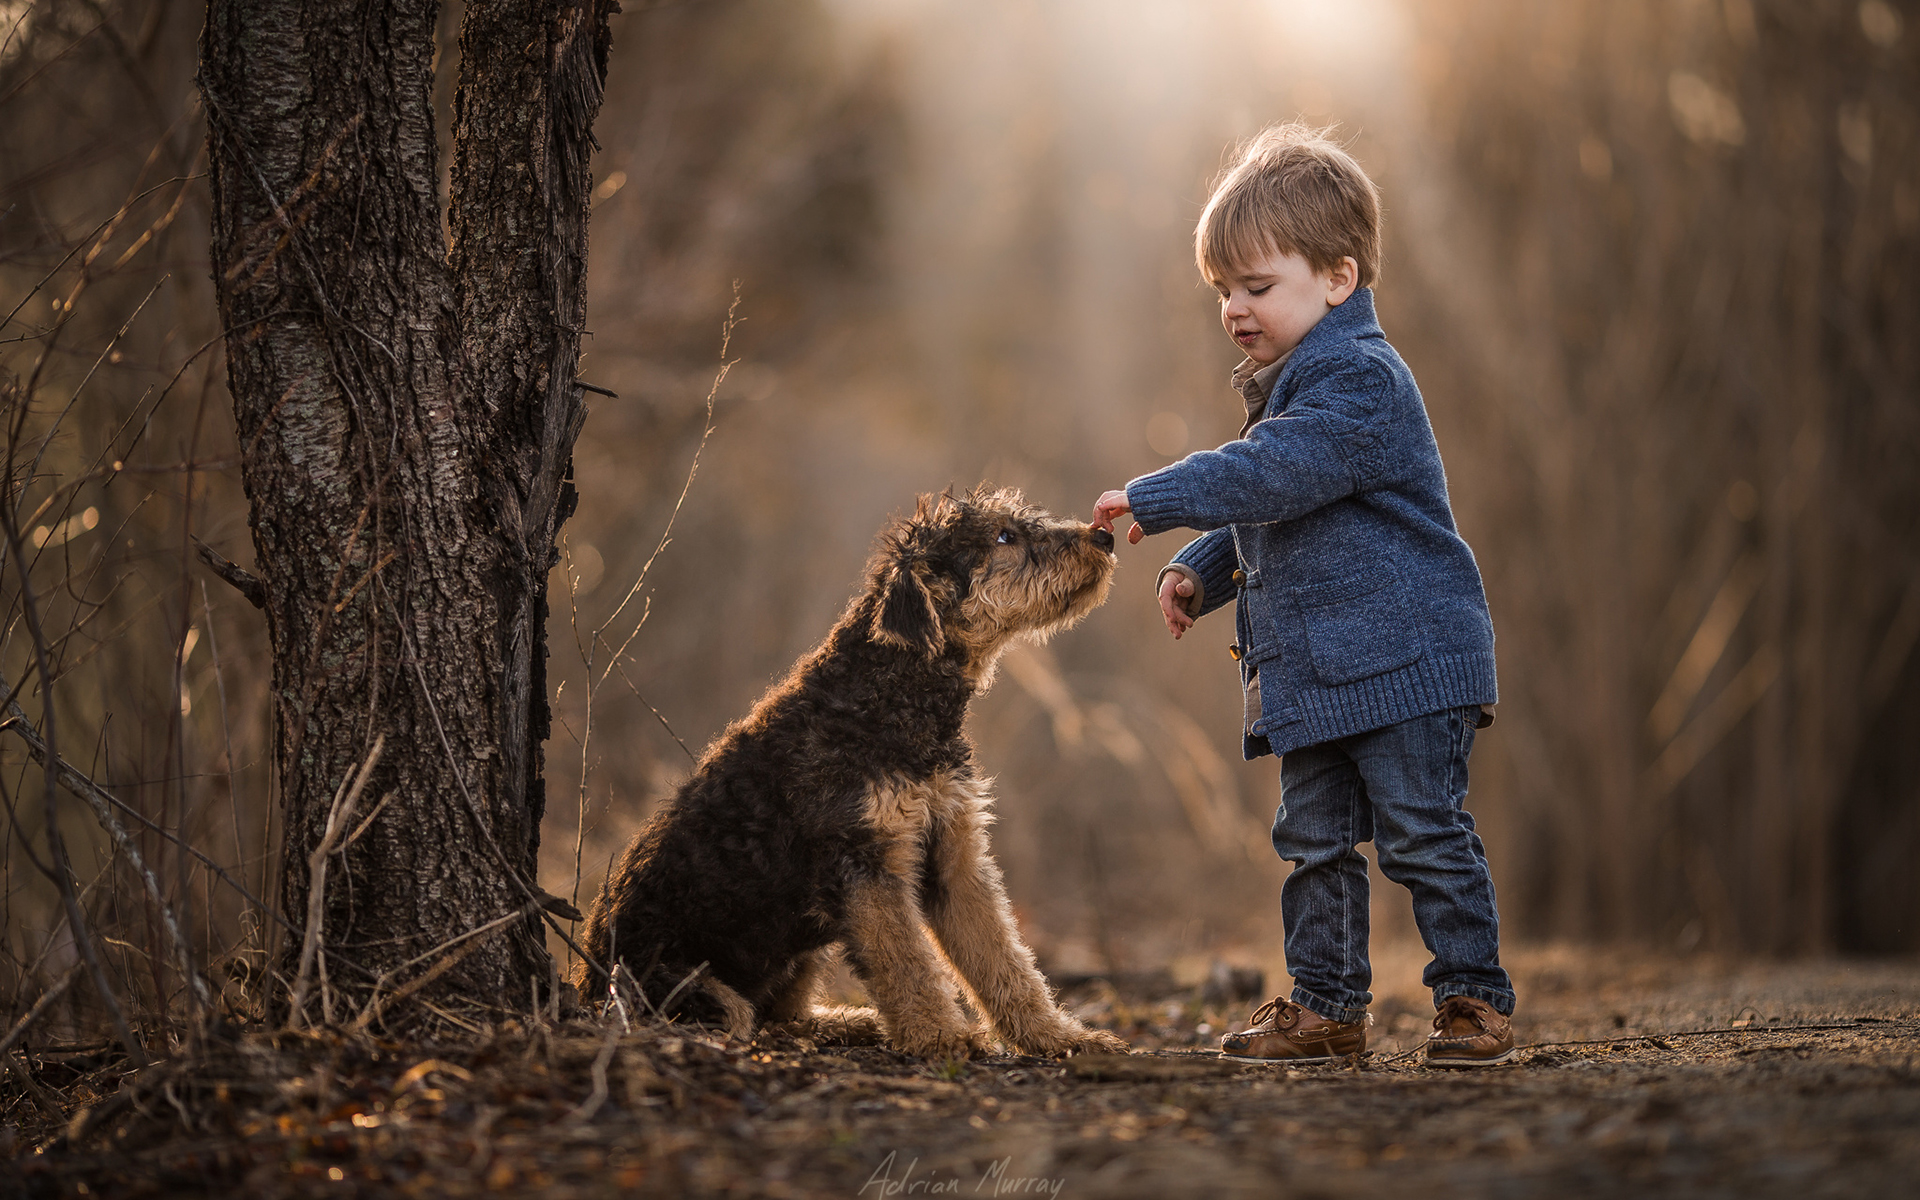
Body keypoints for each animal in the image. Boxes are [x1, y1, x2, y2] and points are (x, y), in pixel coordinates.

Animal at [576, 487, 1128, 1059]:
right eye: (1004, 536)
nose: (1103, 537)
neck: (888, 695)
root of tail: (584, 984)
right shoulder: (867, 862)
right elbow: (908, 962)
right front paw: (942, 1037)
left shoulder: (954, 856)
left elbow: (1003, 957)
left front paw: (1058, 1036)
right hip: (689, 984)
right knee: (745, 1018)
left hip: (802, 950)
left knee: (786, 1016)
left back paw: (857, 1023)